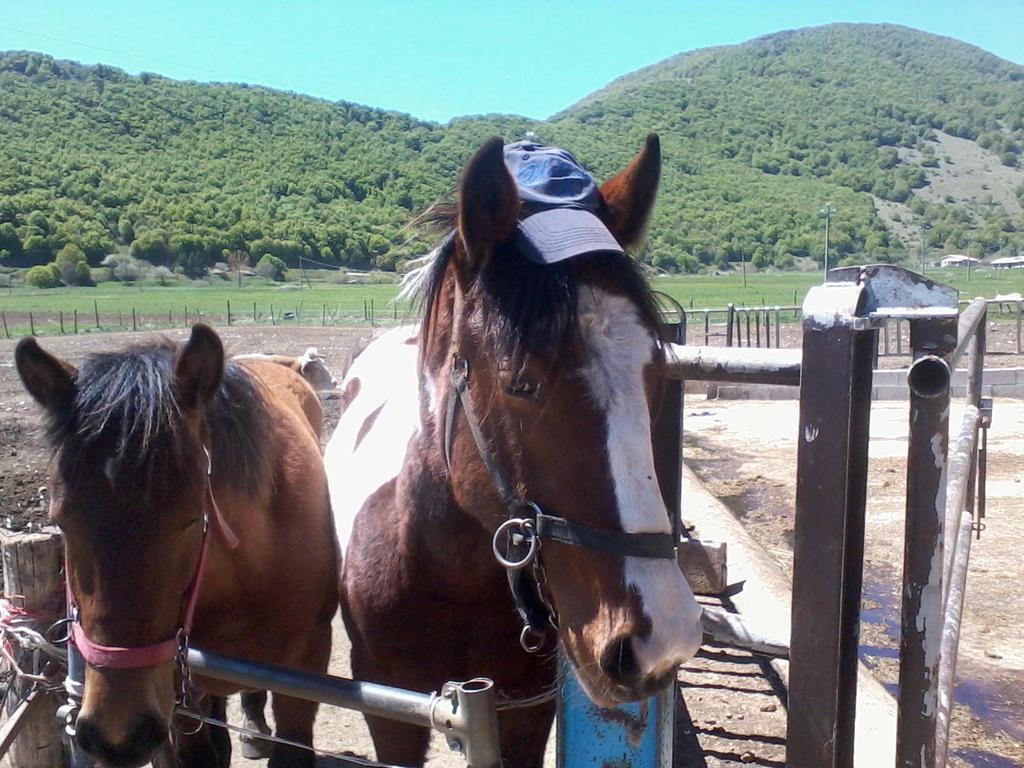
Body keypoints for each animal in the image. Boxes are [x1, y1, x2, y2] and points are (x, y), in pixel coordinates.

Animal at [325, 138, 704, 768]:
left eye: (653, 373)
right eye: (520, 383)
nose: (662, 638)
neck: (450, 576)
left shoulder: (526, 706)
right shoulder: (387, 704)